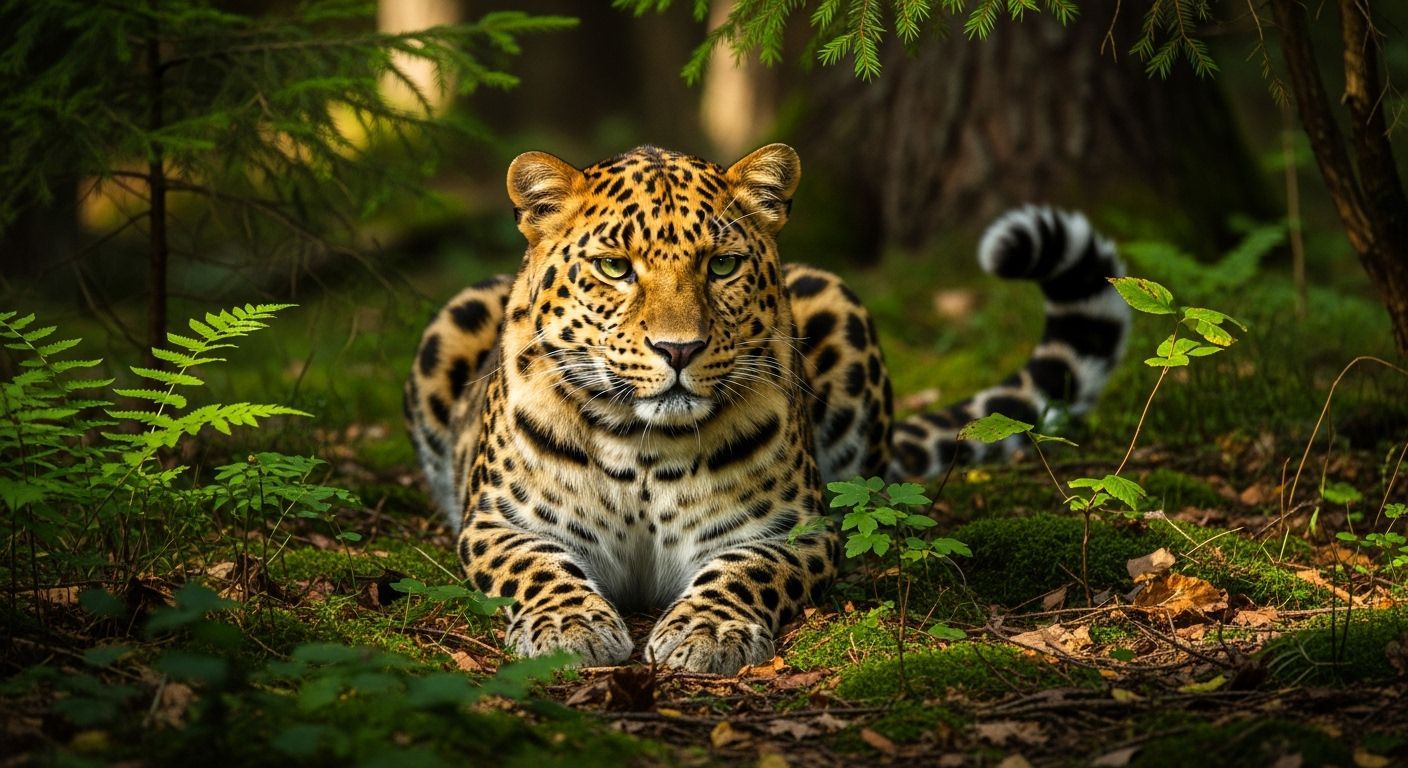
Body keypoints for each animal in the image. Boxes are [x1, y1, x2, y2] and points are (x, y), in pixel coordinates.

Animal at [403, 143, 1130, 674]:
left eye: (722, 265)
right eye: (615, 267)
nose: (678, 348)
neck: (642, 443)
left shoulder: (792, 530)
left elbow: (743, 572)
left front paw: (708, 630)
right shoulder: (499, 523)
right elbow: (540, 568)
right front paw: (569, 624)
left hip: (837, 301)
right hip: (452, 317)